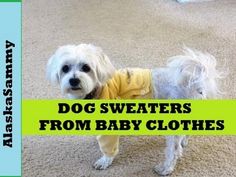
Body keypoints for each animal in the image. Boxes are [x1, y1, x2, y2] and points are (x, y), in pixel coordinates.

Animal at [46, 44, 223, 176]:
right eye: (65, 68)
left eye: (86, 67)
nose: (74, 80)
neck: (96, 89)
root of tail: (193, 83)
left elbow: (108, 149)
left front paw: (104, 161)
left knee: (173, 151)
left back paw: (165, 168)